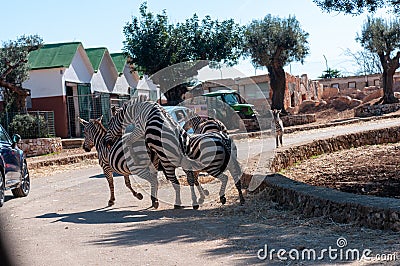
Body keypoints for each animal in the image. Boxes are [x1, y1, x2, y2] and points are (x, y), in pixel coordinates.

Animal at [104, 100, 245, 208]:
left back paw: (221, 198)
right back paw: (241, 199)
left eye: (110, 123)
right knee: (236, 177)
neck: (141, 109)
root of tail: (222, 137)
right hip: (229, 162)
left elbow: (129, 140)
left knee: (224, 178)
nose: (106, 143)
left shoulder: (140, 128)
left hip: (210, 166)